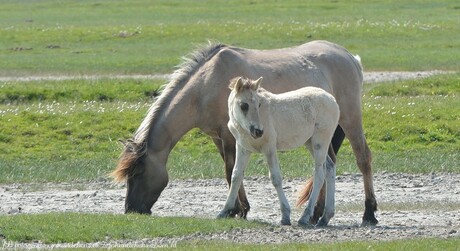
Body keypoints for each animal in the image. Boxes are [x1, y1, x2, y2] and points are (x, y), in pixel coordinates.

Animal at [217, 76, 340, 226]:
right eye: (244, 105)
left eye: (258, 104)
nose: (258, 131)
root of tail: (332, 99)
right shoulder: (243, 148)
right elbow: (236, 176)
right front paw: (224, 211)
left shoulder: (269, 148)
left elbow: (275, 178)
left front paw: (285, 216)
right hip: (310, 142)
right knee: (329, 167)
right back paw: (325, 217)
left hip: (320, 142)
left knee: (319, 174)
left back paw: (305, 217)